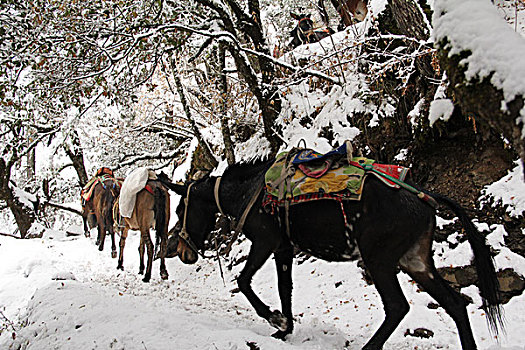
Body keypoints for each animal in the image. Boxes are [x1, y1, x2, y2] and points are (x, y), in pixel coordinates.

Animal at [166, 160, 502, 348]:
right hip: (416, 262)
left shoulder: (265, 242)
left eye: (181, 210)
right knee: (455, 304)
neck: (250, 191)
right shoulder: (284, 249)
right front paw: (286, 329)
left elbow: (244, 281)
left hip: (380, 261)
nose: (179, 250)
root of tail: (425, 197)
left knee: (397, 307)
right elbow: (284, 289)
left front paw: (275, 319)